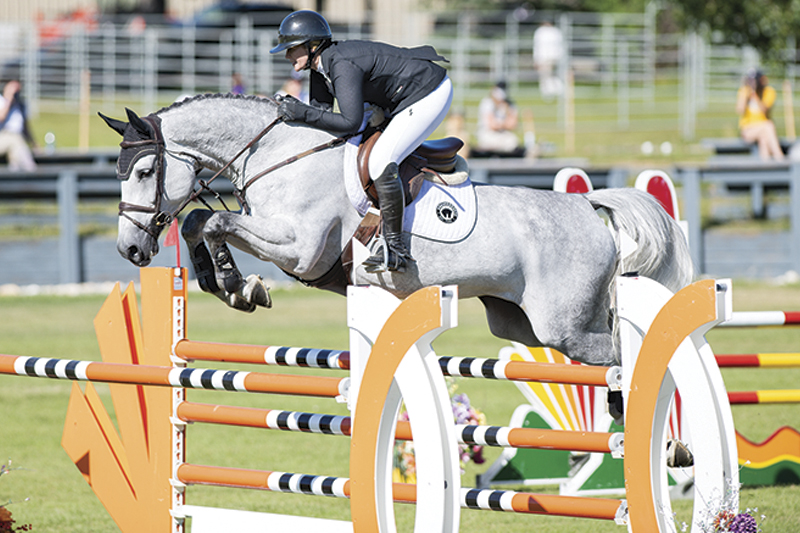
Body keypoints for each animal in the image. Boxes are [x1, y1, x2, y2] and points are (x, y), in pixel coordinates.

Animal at [100, 93, 692, 366]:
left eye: (145, 172)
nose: (129, 249)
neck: (277, 153)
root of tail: (588, 207)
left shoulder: (300, 249)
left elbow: (216, 219)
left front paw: (238, 285)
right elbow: (199, 220)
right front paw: (221, 281)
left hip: (563, 325)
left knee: (625, 351)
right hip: (520, 322)